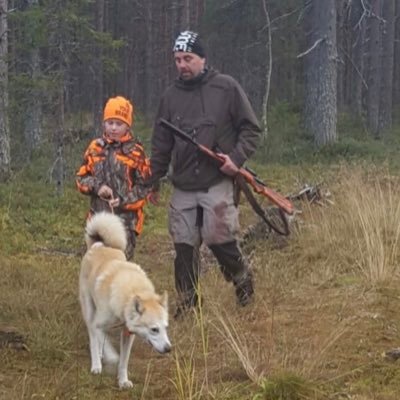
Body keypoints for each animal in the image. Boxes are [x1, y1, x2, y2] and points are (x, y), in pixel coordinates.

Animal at [79, 214, 171, 390]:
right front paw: (110, 358)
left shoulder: (128, 335)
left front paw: (122, 381)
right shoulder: (99, 324)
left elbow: (123, 362)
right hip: (89, 311)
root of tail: (98, 245)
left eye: (165, 328)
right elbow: (108, 347)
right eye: (154, 329)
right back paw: (96, 364)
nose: (169, 349)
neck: (132, 292)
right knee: (93, 337)